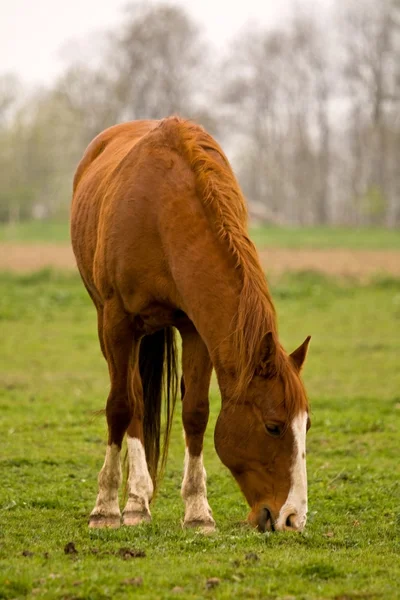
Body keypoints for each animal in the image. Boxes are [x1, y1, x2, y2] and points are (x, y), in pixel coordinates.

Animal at [70, 117, 310, 536]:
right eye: (273, 426)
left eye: (307, 426)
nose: (292, 518)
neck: (162, 212)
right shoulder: (117, 321)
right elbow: (119, 406)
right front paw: (105, 509)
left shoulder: (197, 327)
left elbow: (196, 413)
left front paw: (198, 512)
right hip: (110, 324)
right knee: (132, 399)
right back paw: (134, 502)